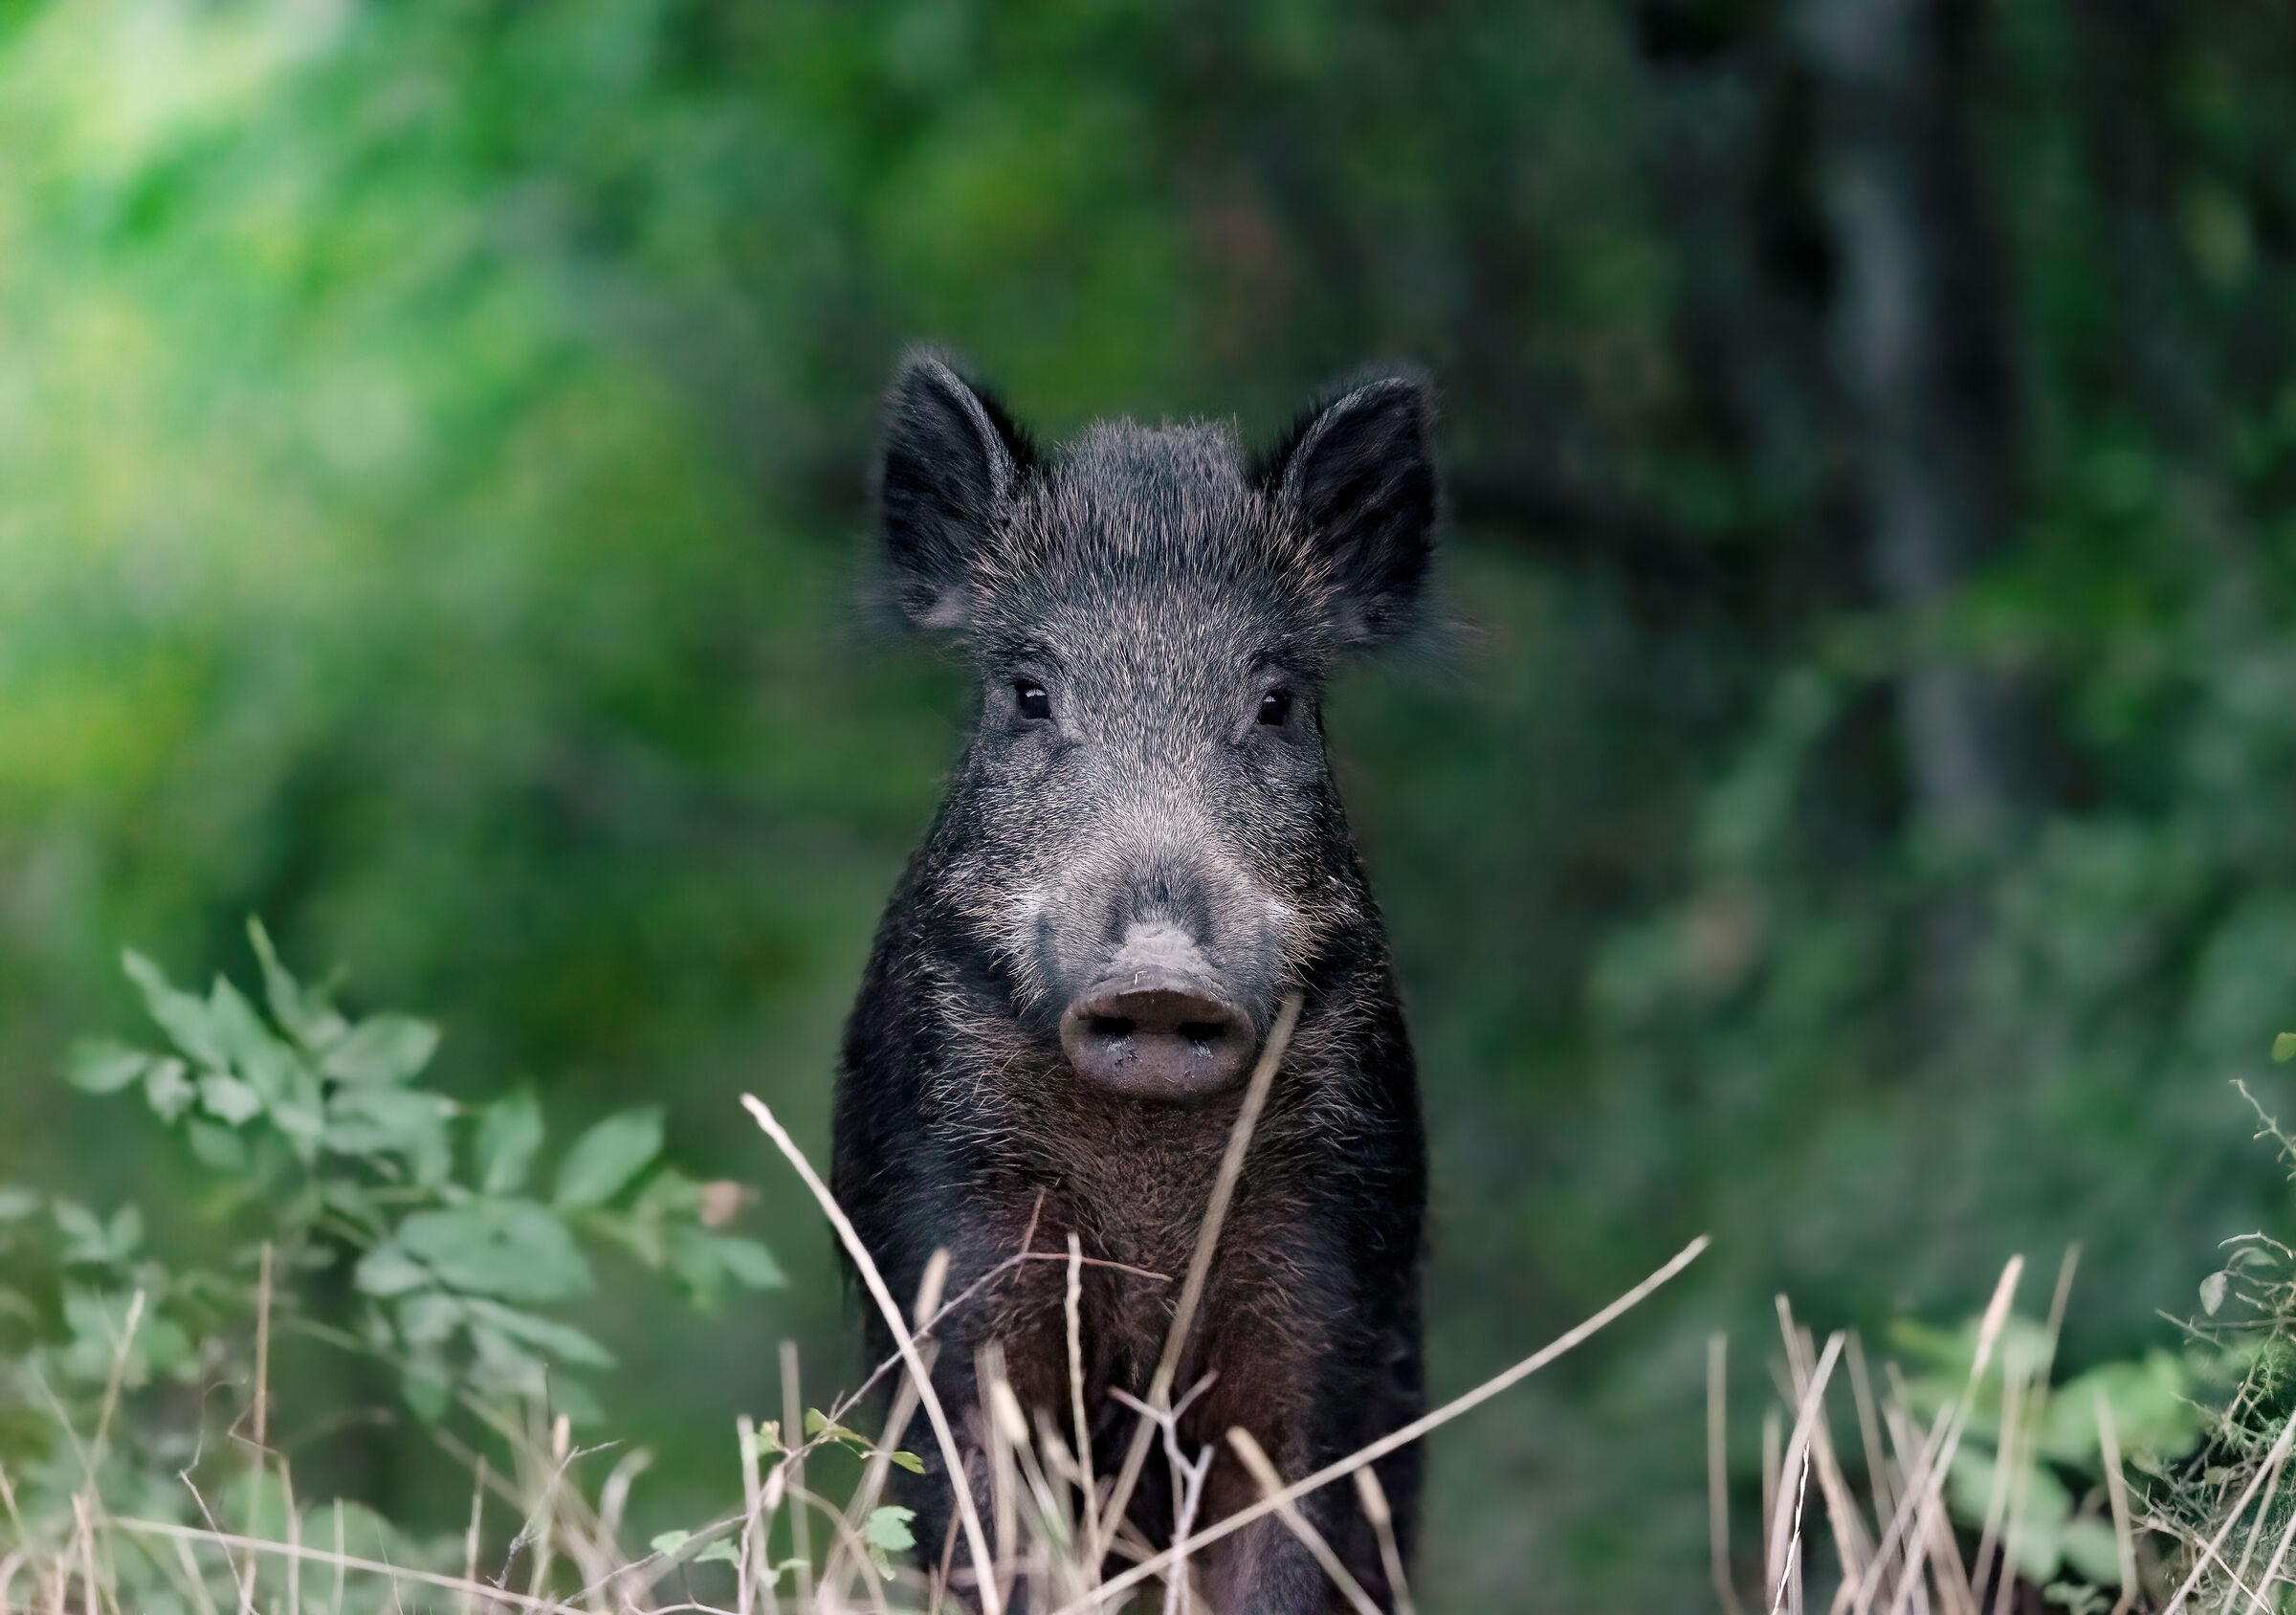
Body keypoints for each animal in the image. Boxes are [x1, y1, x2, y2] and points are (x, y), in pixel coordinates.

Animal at [831, 352, 1436, 1613]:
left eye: (1276, 702)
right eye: (1028, 692)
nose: (1159, 976)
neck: (1146, 1198)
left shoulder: (1329, 1257)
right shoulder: (952, 1225)